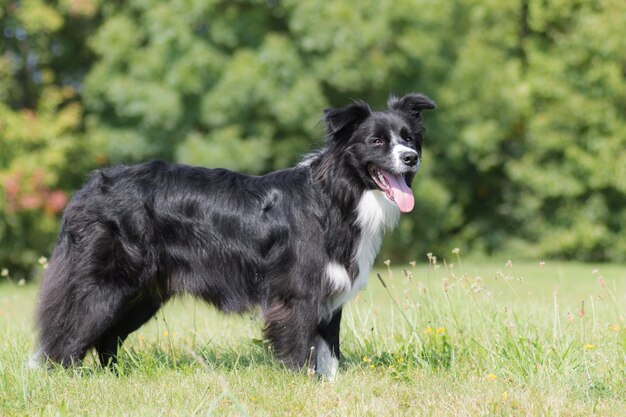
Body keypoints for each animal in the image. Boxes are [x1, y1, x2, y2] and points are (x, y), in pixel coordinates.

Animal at [34, 93, 434, 376]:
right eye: (377, 142)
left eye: (409, 138)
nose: (411, 157)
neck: (336, 196)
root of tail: (86, 191)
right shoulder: (298, 292)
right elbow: (301, 345)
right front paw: (305, 384)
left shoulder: (330, 290)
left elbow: (329, 349)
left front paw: (331, 385)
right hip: (104, 285)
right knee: (68, 332)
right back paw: (62, 378)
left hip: (143, 294)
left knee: (107, 338)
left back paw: (113, 378)